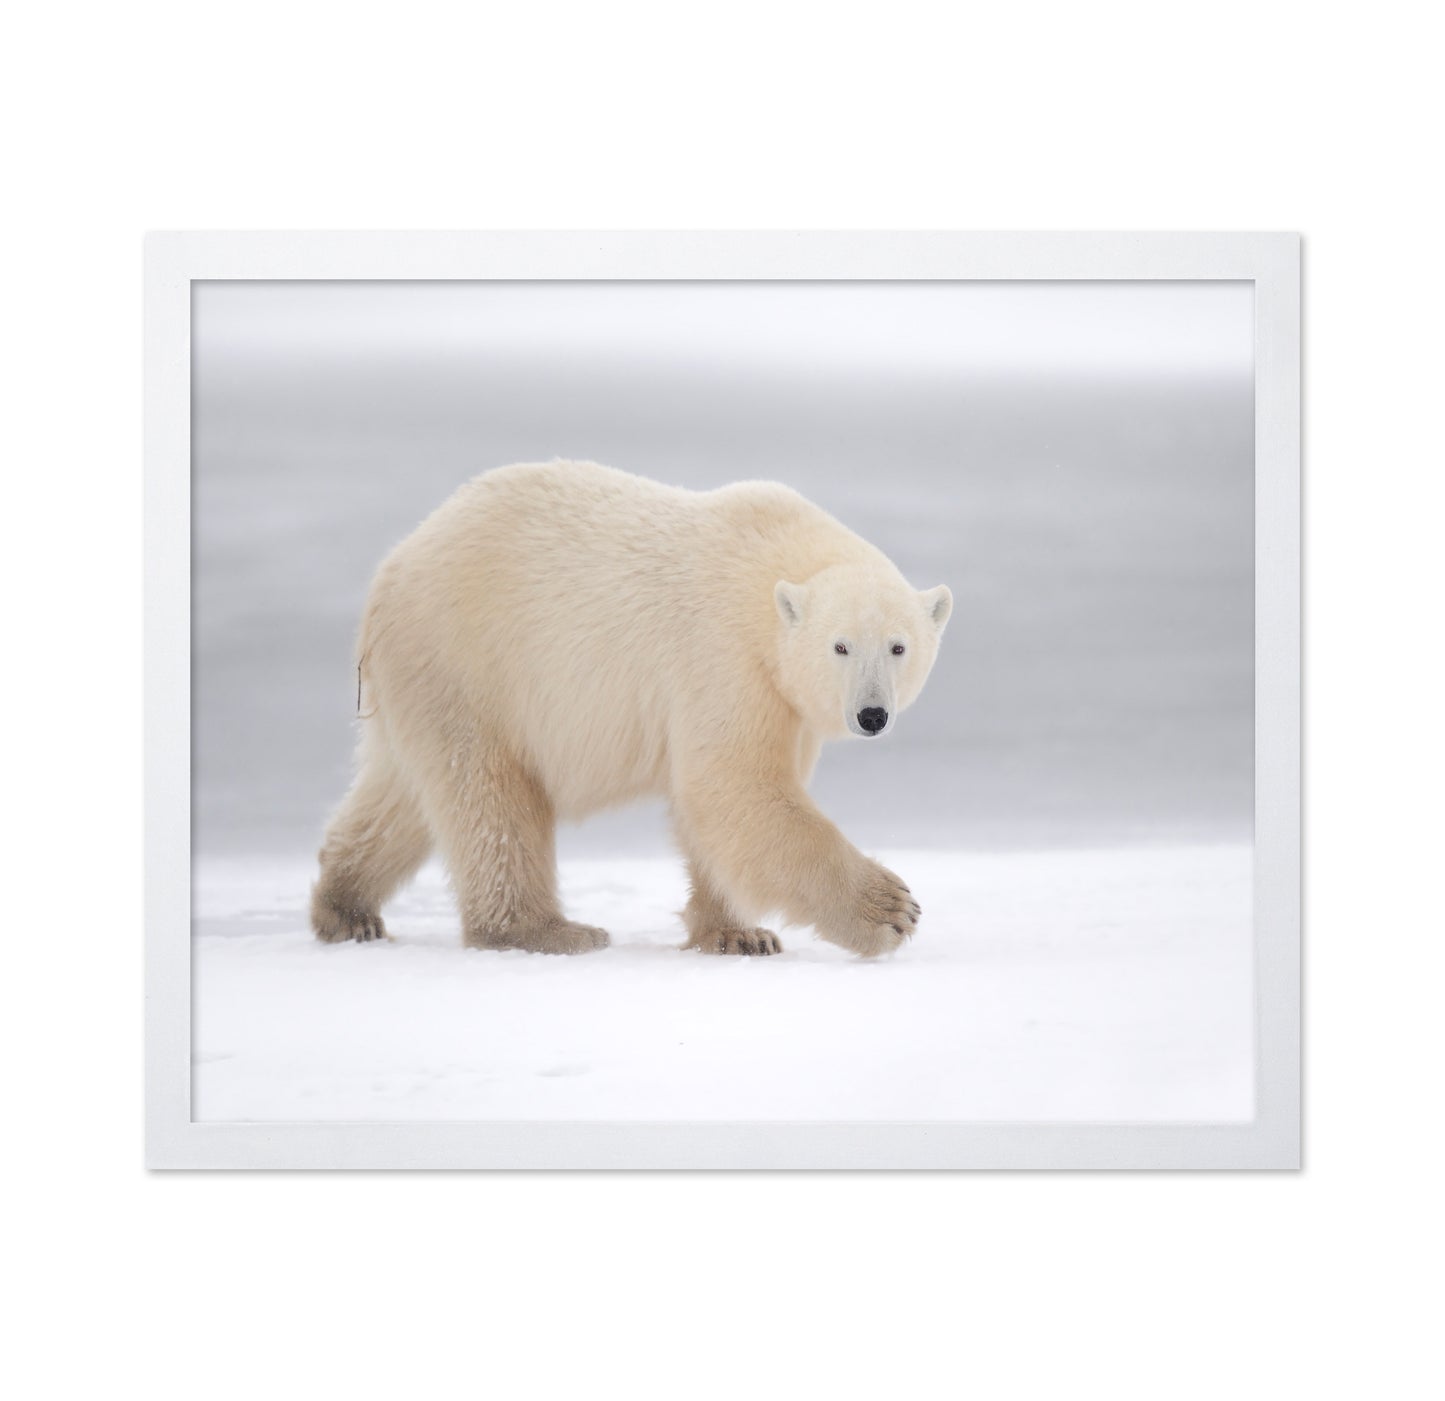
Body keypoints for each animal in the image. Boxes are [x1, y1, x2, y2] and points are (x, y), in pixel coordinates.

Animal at [311, 460, 952, 958]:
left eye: (898, 646)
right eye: (839, 646)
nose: (872, 715)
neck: (770, 568)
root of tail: (390, 573)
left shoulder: (784, 701)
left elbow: (721, 806)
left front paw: (739, 935)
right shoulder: (724, 656)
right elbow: (733, 785)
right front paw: (891, 909)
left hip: (426, 683)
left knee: (401, 797)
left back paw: (346, 908)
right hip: (472, 663)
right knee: (491, 802)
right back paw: (550, 931)